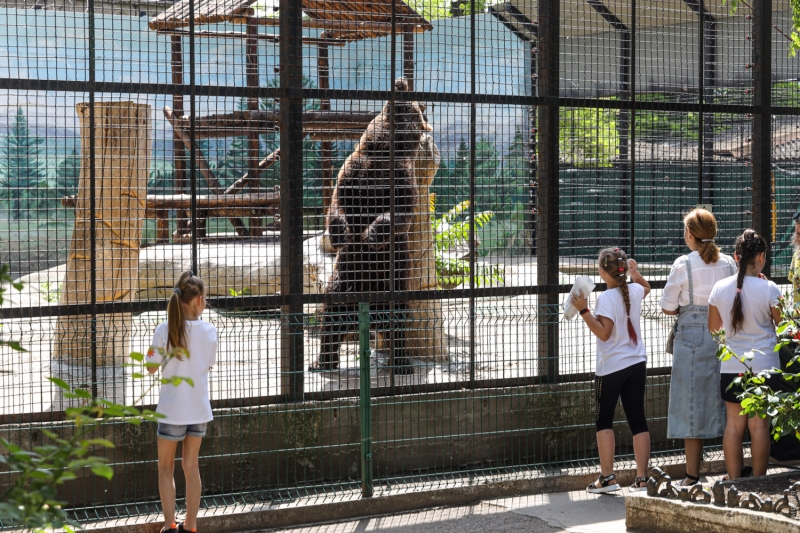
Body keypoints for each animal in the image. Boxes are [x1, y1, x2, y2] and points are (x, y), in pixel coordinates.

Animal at [312, 78, 434, 374]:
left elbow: (398, 213)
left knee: (398, 324)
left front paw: (371, 233)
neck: (382, 152)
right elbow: (337, 203)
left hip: (392, 284)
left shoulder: (401, 179)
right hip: (343, 280)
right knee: (330, 319)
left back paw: (401, 363)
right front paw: (342, 233)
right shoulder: (354, 170)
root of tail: (366, 317)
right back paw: (322, 361)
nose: (401, 82)